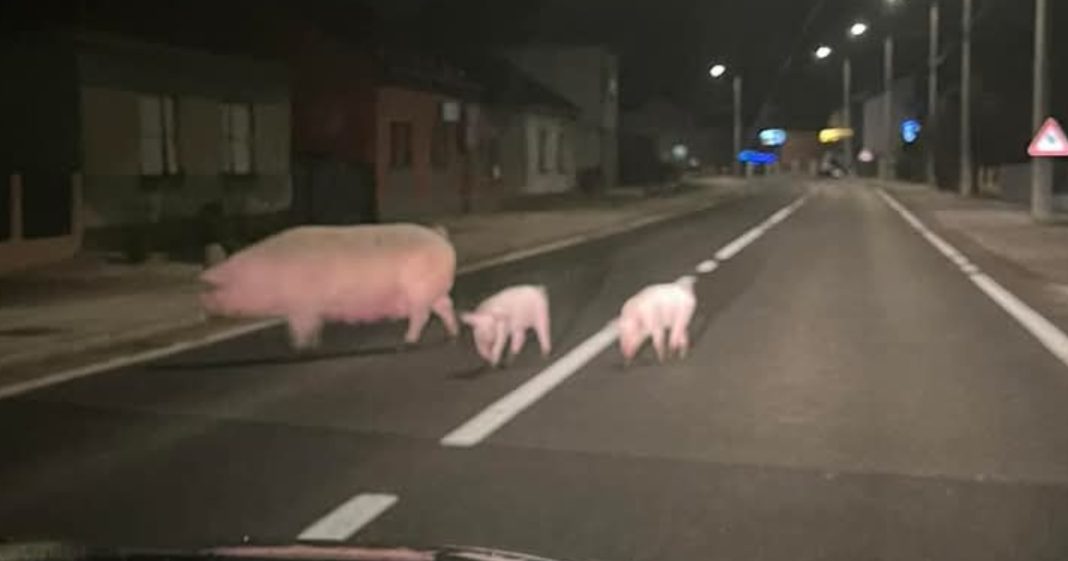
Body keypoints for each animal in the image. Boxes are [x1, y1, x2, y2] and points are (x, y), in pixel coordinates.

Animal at [200, 223, 459, 350]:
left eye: (212, 289)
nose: (204, 309)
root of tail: (441, 239)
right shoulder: (309, 308)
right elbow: (313, 325)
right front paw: (313, 342)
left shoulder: (301, 305)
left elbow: (299, 327)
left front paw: (300, 347)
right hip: (433, 289)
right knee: (445, 305)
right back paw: (453, 333)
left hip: (419, 289)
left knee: (421, 314)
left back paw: (408, 341)